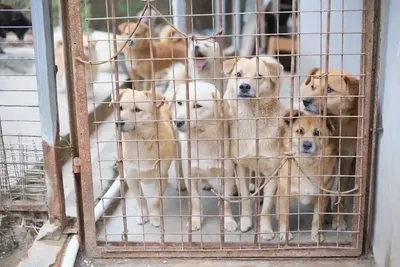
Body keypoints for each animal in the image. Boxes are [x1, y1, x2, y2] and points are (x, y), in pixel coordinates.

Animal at [115, 89, 177, 227]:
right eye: (120, 108)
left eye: (137, 110)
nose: (118, 122)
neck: (138, 142)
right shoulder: (131, 178)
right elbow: (140, 199)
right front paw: (143, 215)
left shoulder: (161, 177)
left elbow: (154, 200)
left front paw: (155, 218)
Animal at [222, 56, 284, 237]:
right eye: (238, 74)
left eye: (259, 76)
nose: (244, 86)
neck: (251, 118)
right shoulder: (241, 167)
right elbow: (245, 199)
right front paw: (245, 221)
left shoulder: (272, 172)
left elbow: (267, 208)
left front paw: (265, 230)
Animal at [278, 110, 338, 244]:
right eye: (299, 131)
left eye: (317, 133)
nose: (307, 145)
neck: (307, 164)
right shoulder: (284, 194)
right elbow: (284, 216)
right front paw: (285, 234)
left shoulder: (322, 196)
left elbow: (317, 219)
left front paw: (316, 235)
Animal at [300, 68, 360, 232]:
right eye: (313, 87)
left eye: (329, 89)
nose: (305, 101)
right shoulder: (326, 156)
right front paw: (324, 216)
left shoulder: (347, 157)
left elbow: (341, 191)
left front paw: (338, 220)